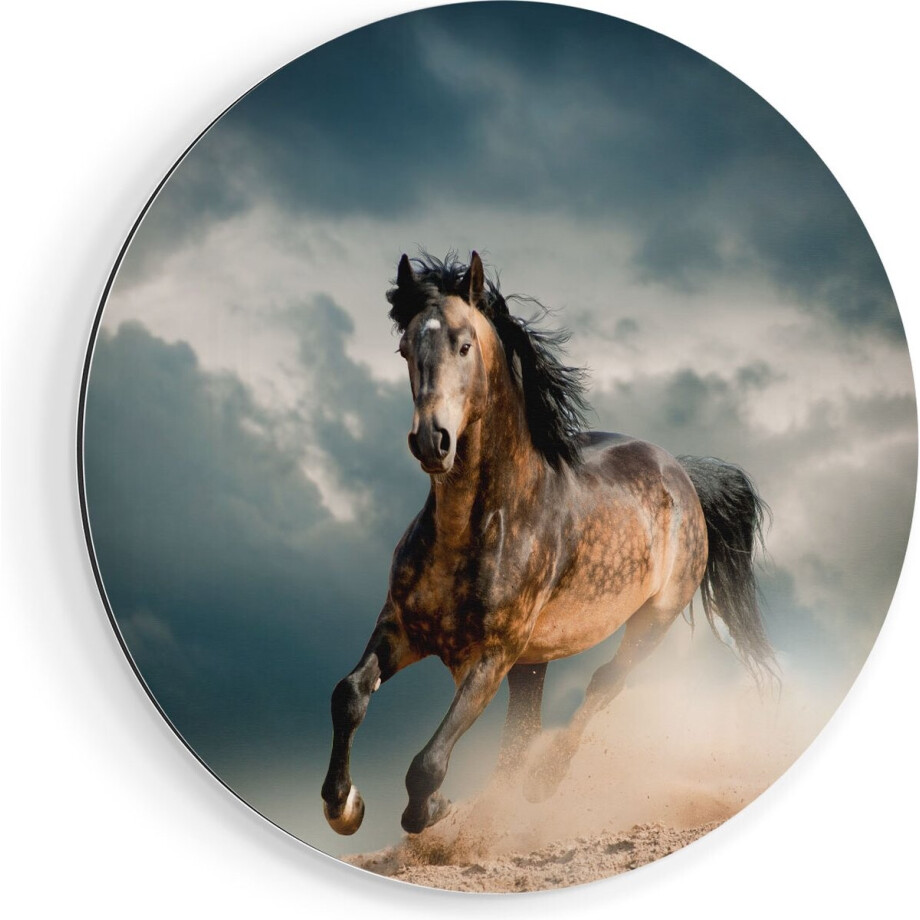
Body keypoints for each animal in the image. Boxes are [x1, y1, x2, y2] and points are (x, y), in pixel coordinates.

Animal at [321, 251, 773, 836]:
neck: (477, 528)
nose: (431, 441)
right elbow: (349, 695)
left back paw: (544, 781)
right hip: (535, 660)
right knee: (523, 731)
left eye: (464, 345)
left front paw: (435, 809)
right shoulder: (401, 627)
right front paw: (343, 806)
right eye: (404, 349)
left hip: (651, 621)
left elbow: (428, 763)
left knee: (602, 685)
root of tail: (683, 474)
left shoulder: (492, 655)